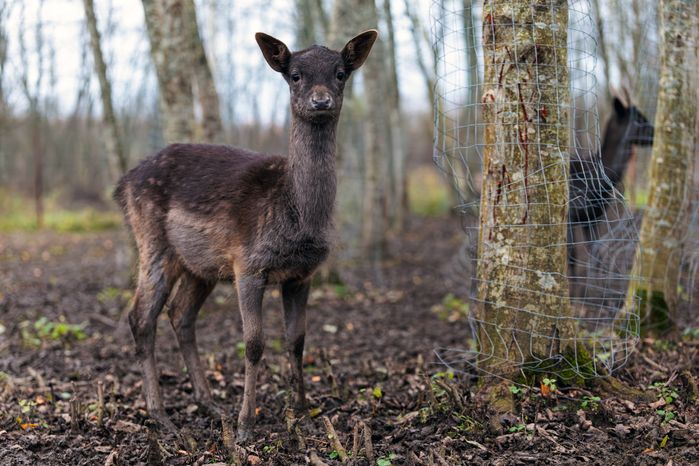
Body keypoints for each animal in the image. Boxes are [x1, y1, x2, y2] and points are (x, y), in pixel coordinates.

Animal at [113, 30, 378, 443]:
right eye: (295, 75)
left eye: (340, 73)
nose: (321, 100)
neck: (297, 216)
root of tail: (122, 185)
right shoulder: (248, 265)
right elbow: (253, 344)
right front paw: (244, 426)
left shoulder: (303, 274)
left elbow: (297, 341)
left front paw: (302, 413)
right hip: (152, 242)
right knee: (141, 316)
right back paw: (161, 416)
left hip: (200, 265)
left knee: (180, 314)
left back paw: (209, 403)